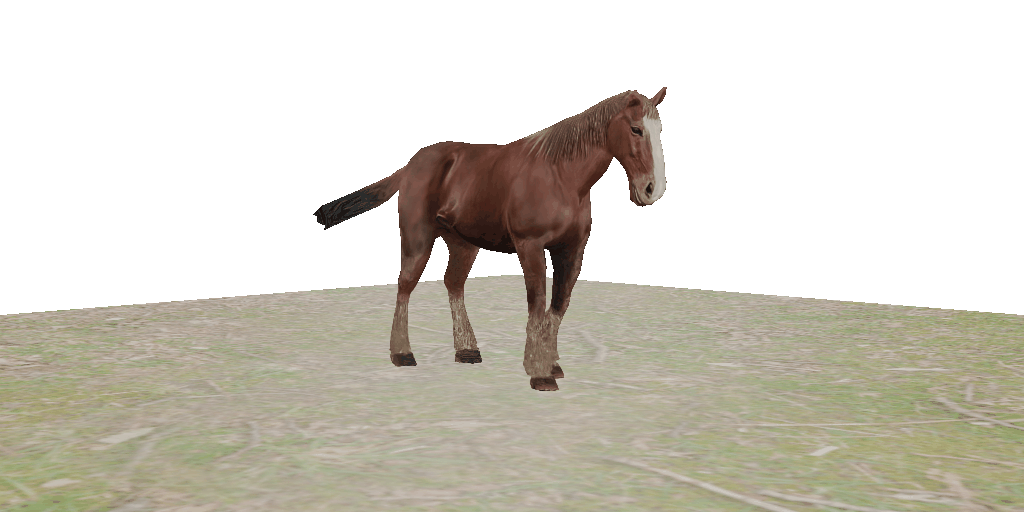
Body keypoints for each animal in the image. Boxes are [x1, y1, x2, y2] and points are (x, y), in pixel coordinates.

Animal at [314, 87, 667, 391]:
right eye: (636, 129)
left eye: (659, 130)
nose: (652, 189)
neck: (561, 177)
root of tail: (411, 165)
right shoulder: (530, 245)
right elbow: (537, 303)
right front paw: (538, 371)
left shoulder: (571, 250)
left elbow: (558, 305)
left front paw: (552, 364)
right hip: (418, 238)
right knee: (405, 285)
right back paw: (402, 354)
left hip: (463, 243)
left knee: (453, 283)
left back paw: (467, 350)